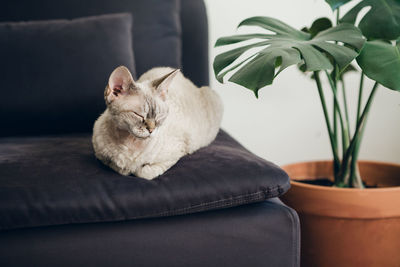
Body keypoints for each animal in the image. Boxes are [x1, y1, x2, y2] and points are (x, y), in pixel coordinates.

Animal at [92, 66, 223, 180]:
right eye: (139, 115)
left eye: (159, 116)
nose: (151, 130)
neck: (129, 142)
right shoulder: (100, 156)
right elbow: (116, 166)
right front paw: (125, 168)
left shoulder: (178, 150)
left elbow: (143, 172)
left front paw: (134, 169)